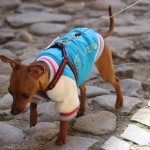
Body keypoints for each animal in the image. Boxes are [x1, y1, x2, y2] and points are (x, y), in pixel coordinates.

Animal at [0, 6, 123, 145]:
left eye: (25, 95)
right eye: (10, 92)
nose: (12, 112)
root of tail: (98, 34)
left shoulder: (66, 100)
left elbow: (63, 121)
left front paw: (61, 137)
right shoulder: (37, 93)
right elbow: (33, 105)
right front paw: (33, 119)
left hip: (104, 70)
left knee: (116, 81)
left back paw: (119, 102)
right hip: (80, 72)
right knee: (84, 89)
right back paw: (81, 110)